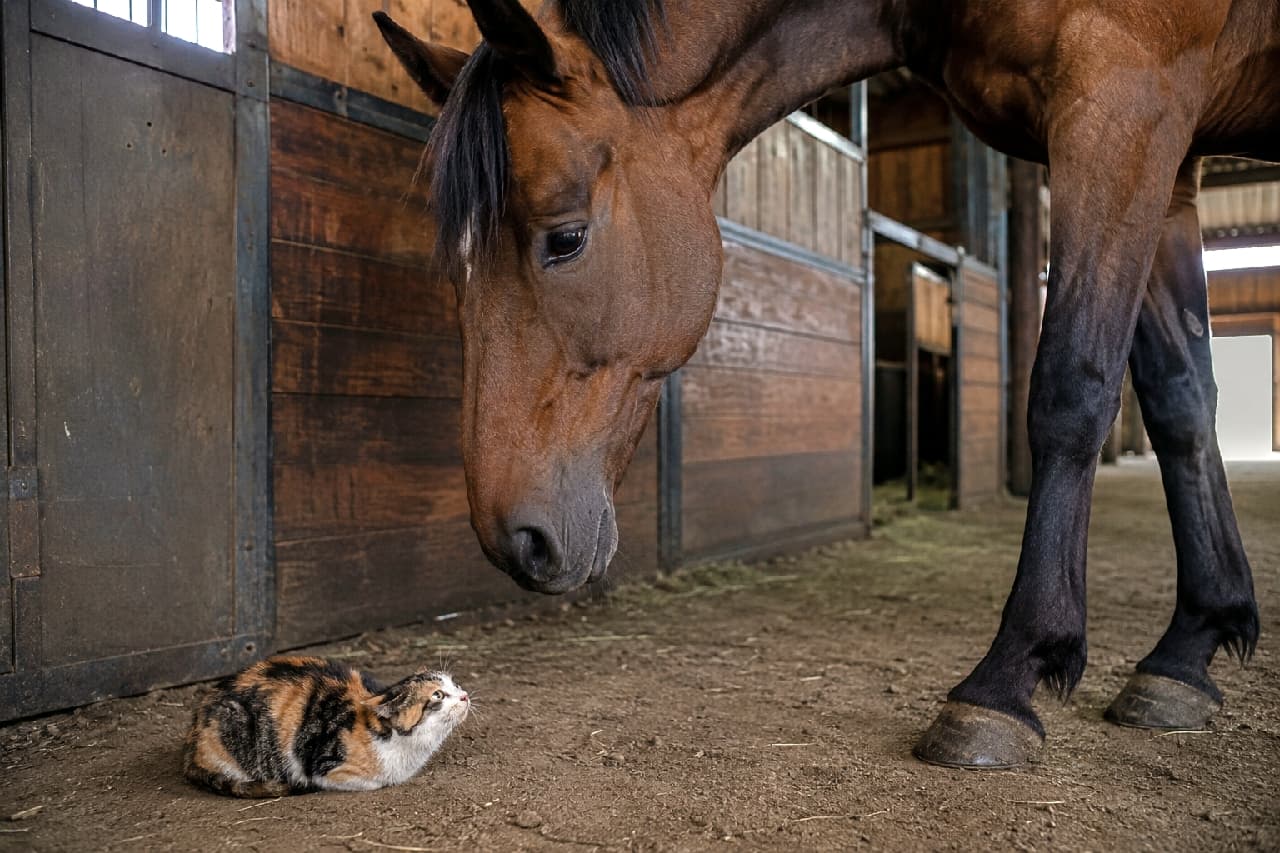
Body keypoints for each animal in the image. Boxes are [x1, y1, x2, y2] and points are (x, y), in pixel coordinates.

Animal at [373, 0, 1278, 768]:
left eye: (564, 238)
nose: (514, 540)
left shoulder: (1124, 102)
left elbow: (1072, 387)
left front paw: (1006, 678)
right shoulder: (1172, 161)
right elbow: (1180, 400)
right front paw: (1188, 650)